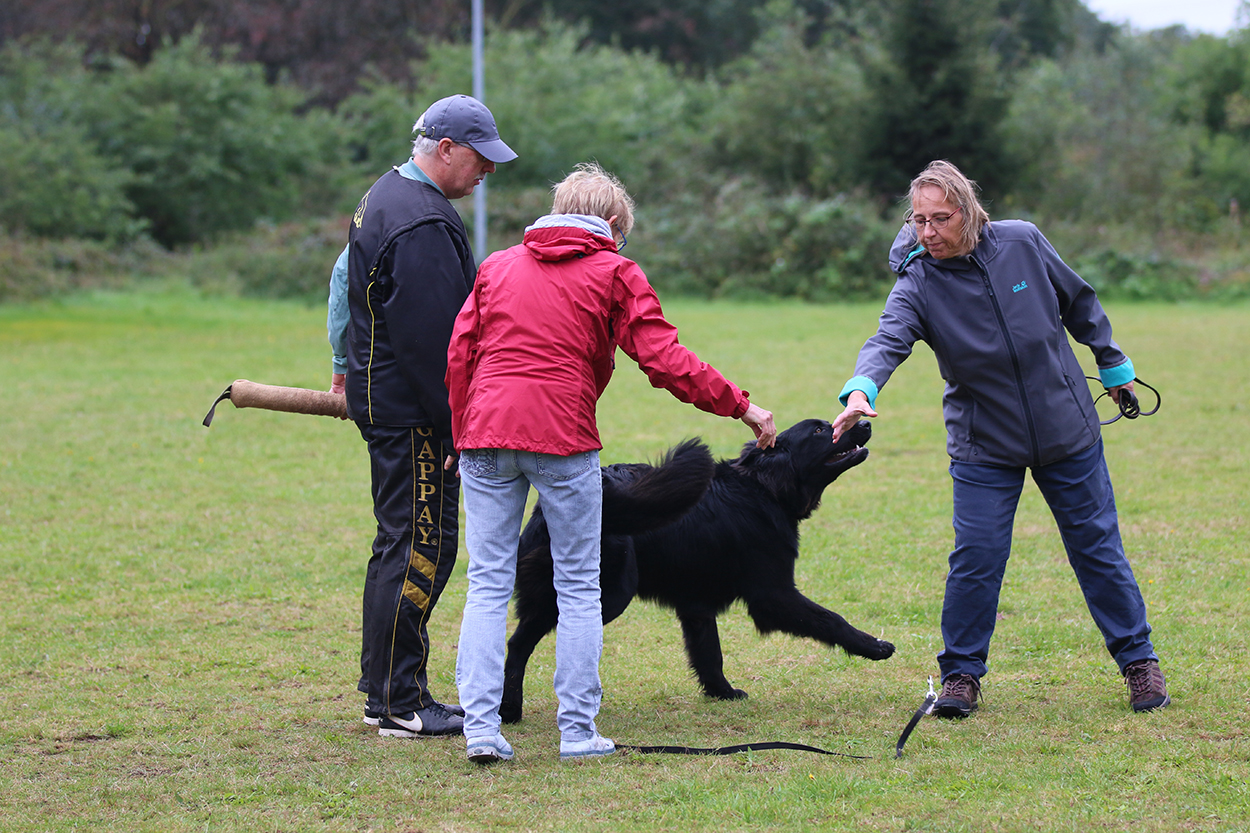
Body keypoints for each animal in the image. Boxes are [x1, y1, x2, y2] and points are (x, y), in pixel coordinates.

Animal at [499, 418, 894, 723]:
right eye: (819, 430)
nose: (865, 422)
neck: (763, 488)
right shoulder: (773, 596)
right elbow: (832, 620)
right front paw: (874, 646)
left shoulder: (696, 604)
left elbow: (709, 654)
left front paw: (722, 692)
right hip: (606, 594)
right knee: (519, 642)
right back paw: (511, 710)